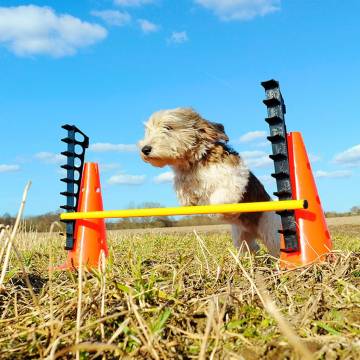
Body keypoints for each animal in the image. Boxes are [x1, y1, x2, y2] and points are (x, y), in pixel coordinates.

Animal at [138, 107, 282, 256]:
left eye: (168, 127)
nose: (145, 149)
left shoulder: (234, 179)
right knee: (251, 247)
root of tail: (255, 231)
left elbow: (219, 198)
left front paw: (215, 212)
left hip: (272, 233)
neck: (196, 162)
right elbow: (186, 195)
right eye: (148, 131)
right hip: (241, 237)